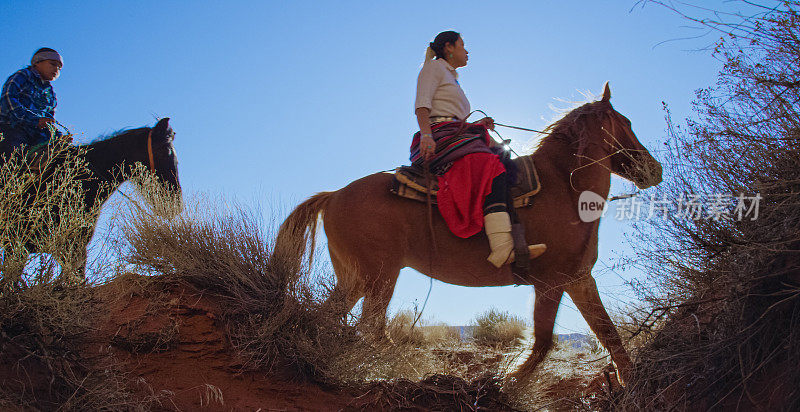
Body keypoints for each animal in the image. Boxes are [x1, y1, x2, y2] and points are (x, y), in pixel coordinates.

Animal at [276, 83, 664, 384]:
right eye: (626, 122)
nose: (654, 169)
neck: (564, 189)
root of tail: (334, 195)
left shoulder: (579, 278)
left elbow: (607, 332)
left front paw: (632, 381)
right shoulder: (551, 282)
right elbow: (542, 343)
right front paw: (510, 382)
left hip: (354, 279)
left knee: (330, 318)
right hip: (379, 277)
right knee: (372, 330)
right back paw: (409, 368)